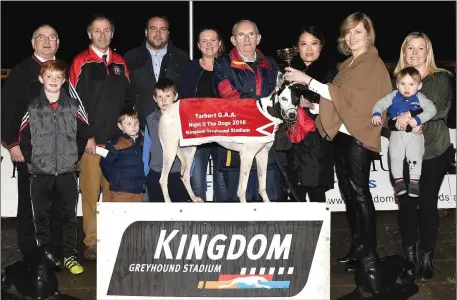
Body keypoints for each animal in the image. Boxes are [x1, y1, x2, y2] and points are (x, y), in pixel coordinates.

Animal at [159, 73, 298, 203]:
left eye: (296, 98)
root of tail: (166, 111)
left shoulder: (262, 155)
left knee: (185, 176)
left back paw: (194, 198)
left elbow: (262, 186)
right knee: (163, 179)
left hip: (189, 150)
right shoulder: (247, 156)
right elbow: (242, 190)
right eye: (283, 98)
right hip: (170, 152)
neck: (266, 111)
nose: (292, 115)